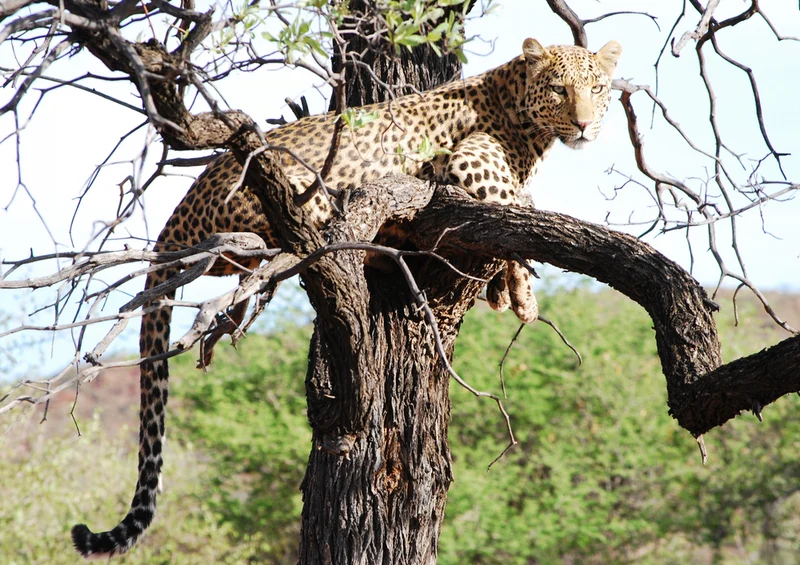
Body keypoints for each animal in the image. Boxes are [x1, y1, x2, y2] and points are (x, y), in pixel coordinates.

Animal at [71, 38, 621, 558]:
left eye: (596, 89)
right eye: (560, 90)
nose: (584, 125)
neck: (527, 123)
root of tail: (176, 215)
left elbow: (522, 211)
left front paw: (506, 289)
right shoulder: (469, 164)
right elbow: (516, 208)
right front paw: (520, 289)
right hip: (302, 194)